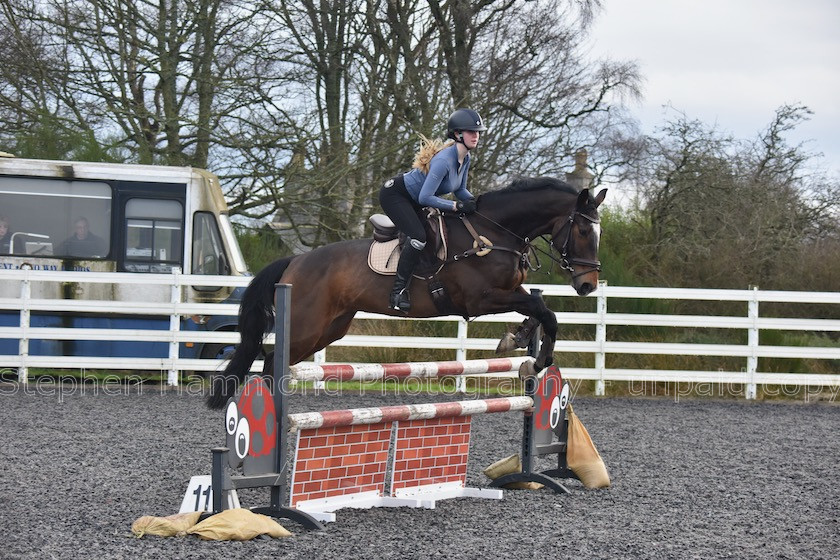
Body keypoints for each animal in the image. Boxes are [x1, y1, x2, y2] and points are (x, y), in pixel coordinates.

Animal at [208, 177, 608, 410]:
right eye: (583, 231)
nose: (587, 284)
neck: (495, 232)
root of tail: (295, 260)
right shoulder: (480, 299)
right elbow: (542, 307)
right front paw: (534, 358)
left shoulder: (509, 290)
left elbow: (540, 309)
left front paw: (521, 341)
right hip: (306, 327)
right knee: (270, 360)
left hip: (329, 328)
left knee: (274, 359)